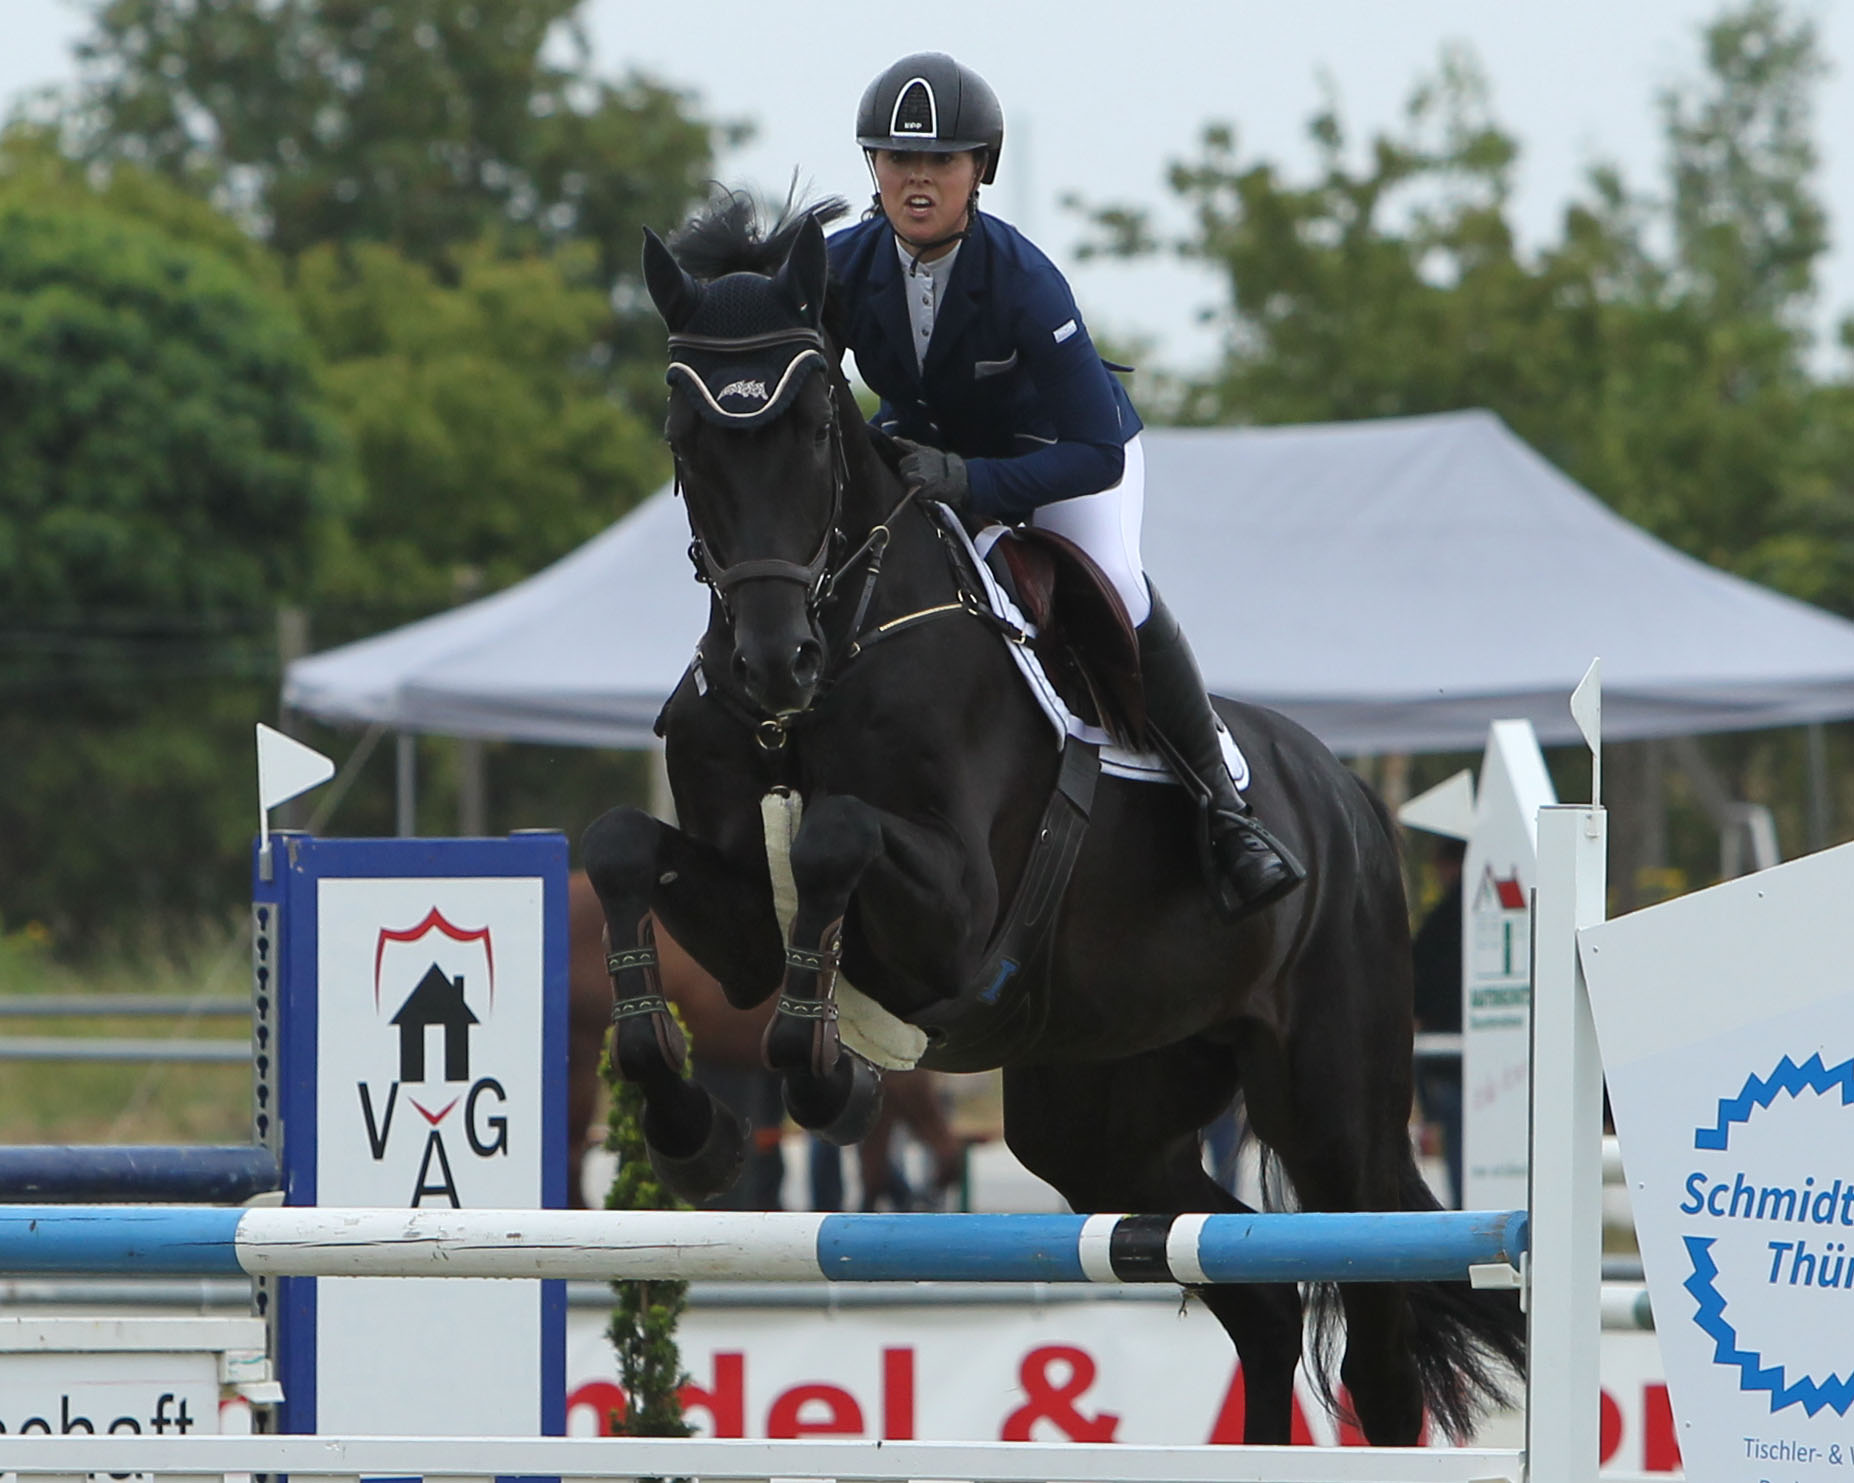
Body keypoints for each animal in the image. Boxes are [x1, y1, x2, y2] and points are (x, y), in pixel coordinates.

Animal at [585, 190, 1527, 1445]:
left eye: (817, 432)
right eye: (687, 442)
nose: (771, 666)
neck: (839, 651)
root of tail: (1348, 804)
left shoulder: (954, 914)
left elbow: (835, 838)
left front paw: (834, 1073)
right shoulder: (737, 918)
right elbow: (620, 846)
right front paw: (693, 1132)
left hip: (1332, 1107)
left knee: (1375, 1339)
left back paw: (1247, 850)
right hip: (1099, 1108)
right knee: (1263, 1297)